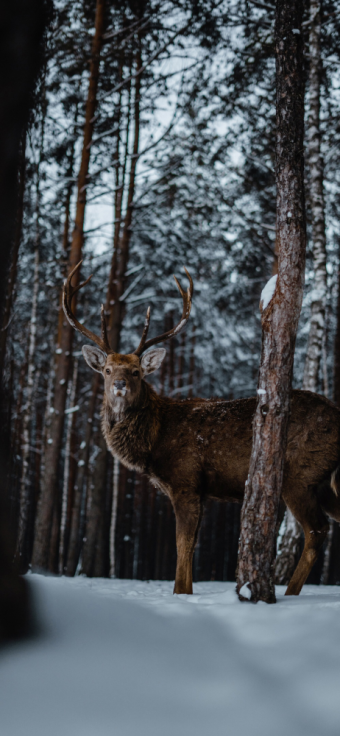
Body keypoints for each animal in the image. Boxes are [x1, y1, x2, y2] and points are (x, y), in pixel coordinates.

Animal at [62, 262, 340, 596]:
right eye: (106, 369)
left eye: (136, 371)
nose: (119, 384)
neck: (154, 443)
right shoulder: (201, 491)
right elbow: (190, 546)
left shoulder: (186, 481)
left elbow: (182, 545)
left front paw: (181, 593)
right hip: (324, 481)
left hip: (301, 474)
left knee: (317, 529)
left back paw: (289, 593)